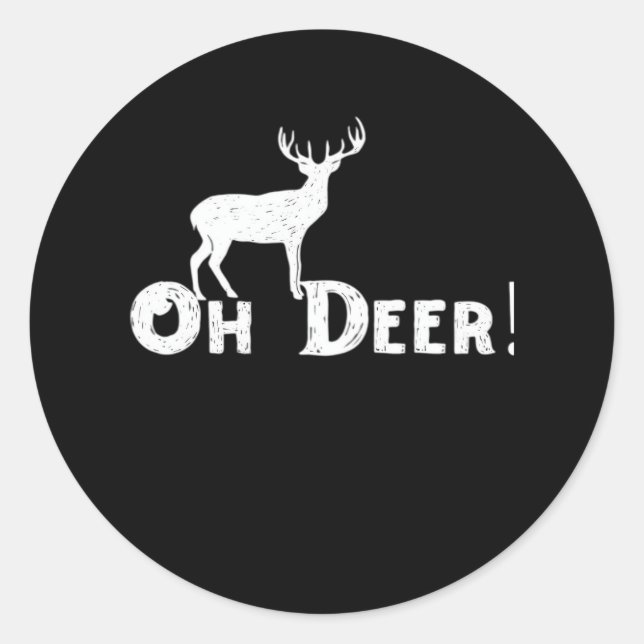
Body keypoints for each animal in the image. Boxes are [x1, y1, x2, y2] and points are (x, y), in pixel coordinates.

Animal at [189, 117, 366, 300]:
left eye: (326, 171)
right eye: (311, 173)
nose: (318, 185)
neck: (305, 211)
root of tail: (194, 214)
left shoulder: (299, 237)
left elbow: (300, 263)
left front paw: (299, 291)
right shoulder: (290, 236)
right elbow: (294, 264)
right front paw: (297, 294)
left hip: (207, 237)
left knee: (195, 258)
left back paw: (200, 295)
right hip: (220, 236)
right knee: (213, 262)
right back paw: (231, 292)